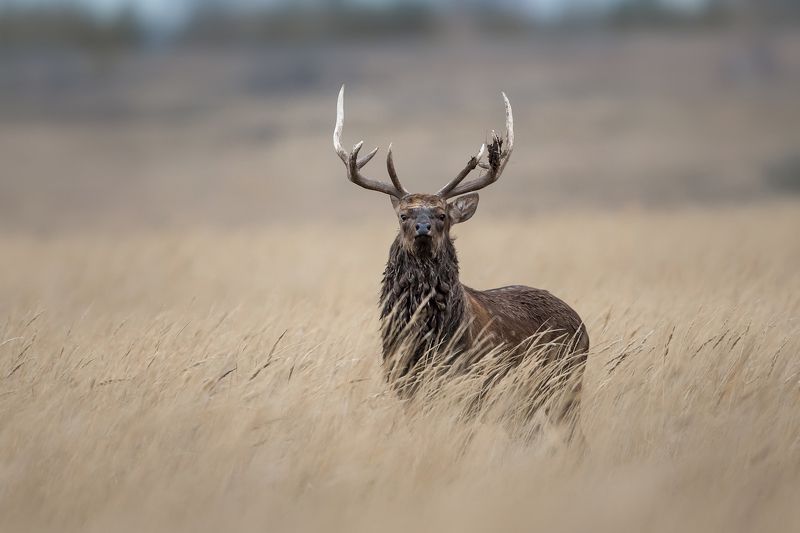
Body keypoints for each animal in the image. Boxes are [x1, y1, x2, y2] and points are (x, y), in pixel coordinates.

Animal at [333, 86, 589, 427]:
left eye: (442, 215)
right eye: (403, 215)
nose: (423, 228)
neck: (426, 336)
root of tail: (583, 325)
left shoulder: (474, 377)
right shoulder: (402, 380)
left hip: (566, 384)